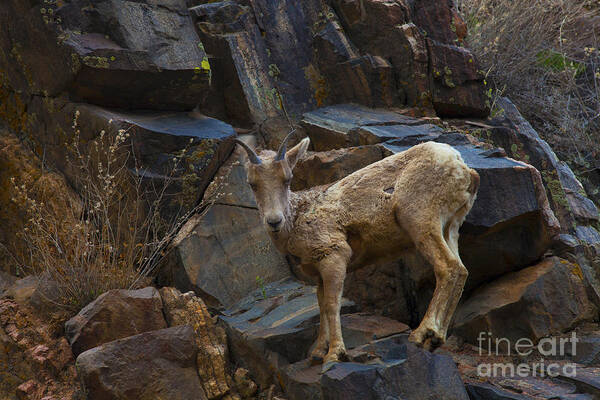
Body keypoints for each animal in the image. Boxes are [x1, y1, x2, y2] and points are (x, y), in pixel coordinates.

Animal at [234, 130, 478, 366]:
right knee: (461, 270)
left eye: (287, 178)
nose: (274, 221)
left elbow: (332, 304)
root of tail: (463, 168)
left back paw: (421, 334)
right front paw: (317, 353)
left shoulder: (334, 256)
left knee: (448, 268)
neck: (298, 218)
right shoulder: (318, 273)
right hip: (451, 226)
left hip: (421, 220)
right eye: (252, 183)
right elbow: (321, 305)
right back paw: (436, 339)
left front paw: (335, 354)